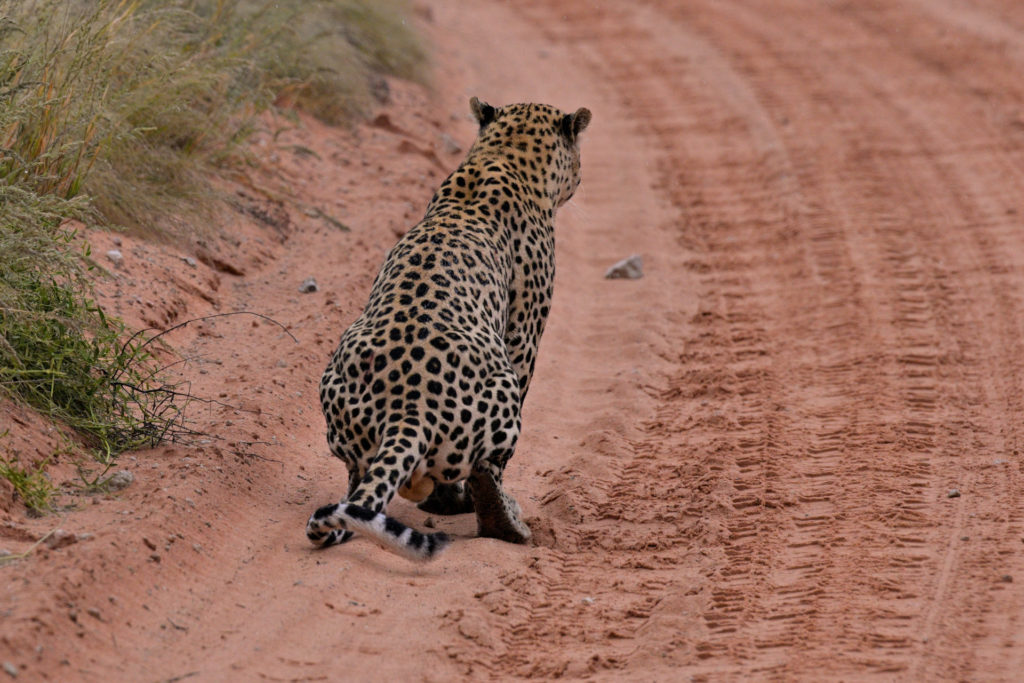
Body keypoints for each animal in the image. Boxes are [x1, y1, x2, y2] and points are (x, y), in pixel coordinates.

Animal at [305, 97, 591, 561]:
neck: (503, 155)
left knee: (361, 478)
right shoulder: (523, 337)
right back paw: (503, 521)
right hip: (502, 386)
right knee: (484, 470)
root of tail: (407, 409)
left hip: (337, 392)